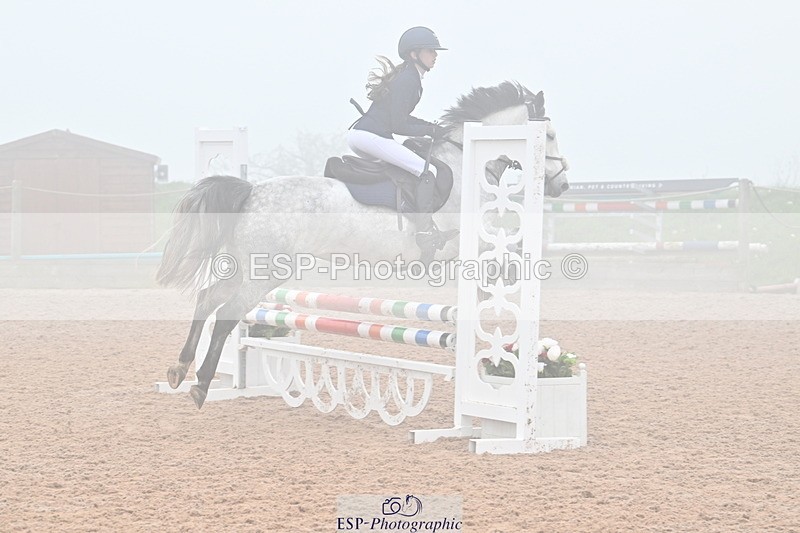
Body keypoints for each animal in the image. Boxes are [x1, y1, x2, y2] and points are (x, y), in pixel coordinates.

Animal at [157, 81, 570, 408]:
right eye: (549, 135)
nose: (563, 185)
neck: (465, 158)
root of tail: (250, 192)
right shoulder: (466, 245)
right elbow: (505, 259)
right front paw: (493, 294)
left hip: (244, 266)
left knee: (208, 298)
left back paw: (180, 369)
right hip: (266, 273)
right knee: (226, 313)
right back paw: (201, 385)